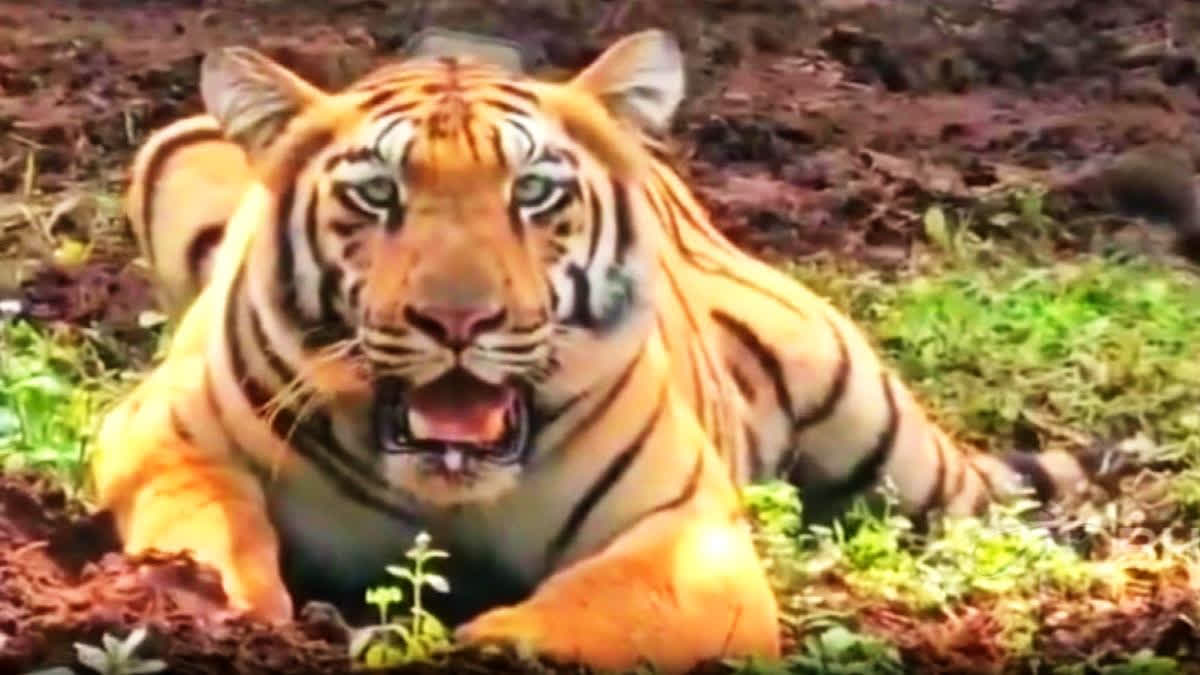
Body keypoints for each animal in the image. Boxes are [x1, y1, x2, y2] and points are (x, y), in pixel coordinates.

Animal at [91, 28, 1113, 667]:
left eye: (533, 192)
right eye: (379, 196)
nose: (457, 322)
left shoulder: (688, 530)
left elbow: (606, 608)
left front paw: (482, 646)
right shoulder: (157, 432)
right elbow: (203, 527)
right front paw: (216, 612)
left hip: (877, 420)